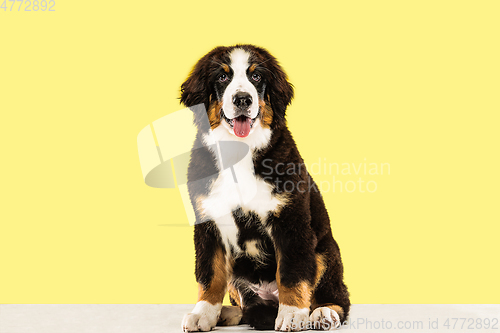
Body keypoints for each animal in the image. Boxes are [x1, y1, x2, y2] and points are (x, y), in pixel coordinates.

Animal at [182, 44, 350, 332]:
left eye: (256, 76)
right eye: (222, 77)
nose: (242, 99)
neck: (240, 152)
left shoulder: (290, 220)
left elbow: (292, 273)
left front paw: (292, 314)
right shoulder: (208, 221)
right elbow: (210, 274)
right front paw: (203, 313)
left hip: (324, 251)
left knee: (336, 296)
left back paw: (323, 313)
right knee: (243, 300)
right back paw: (227, 313)